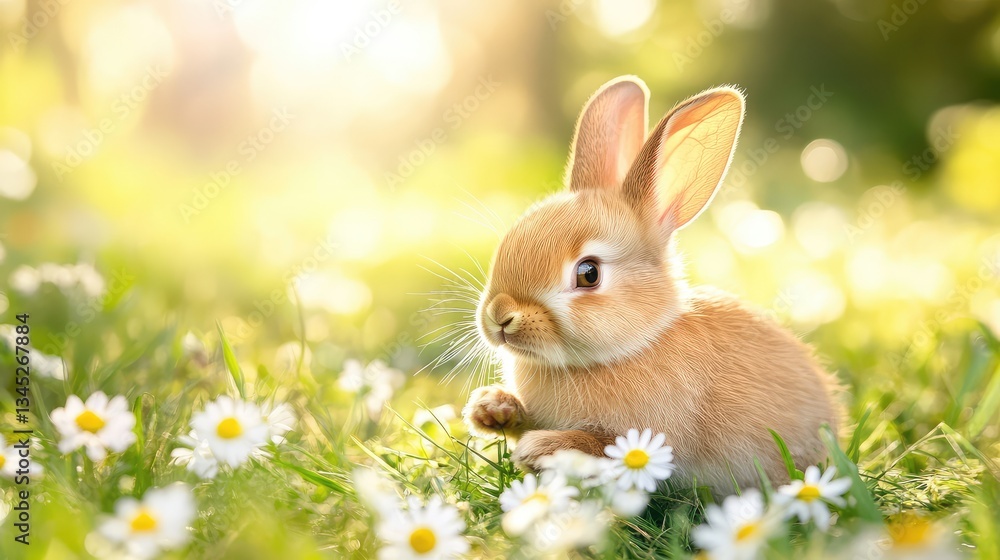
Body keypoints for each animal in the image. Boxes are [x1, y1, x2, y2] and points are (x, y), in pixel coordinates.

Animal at [461, 76, 842, 492]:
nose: (499, 316)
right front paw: (490, 408)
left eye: (589, 273)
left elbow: (604, 446)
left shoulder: (651, 436)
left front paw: (541, 449)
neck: (633, 346)